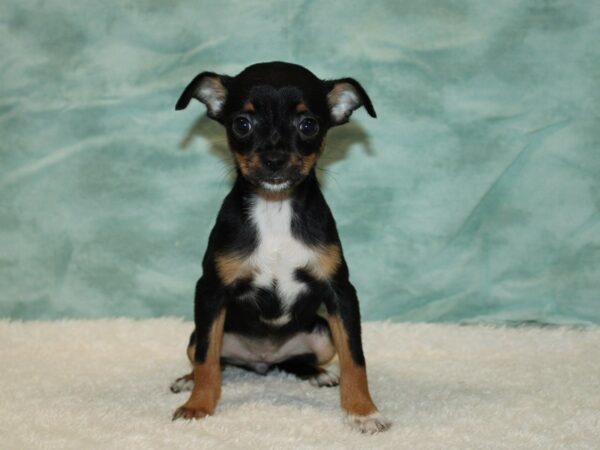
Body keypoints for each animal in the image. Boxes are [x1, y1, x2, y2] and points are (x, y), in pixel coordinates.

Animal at [171, 60, 392, 432]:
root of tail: (264, 361)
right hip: (197, 334)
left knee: (297, 361)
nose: (274, 158)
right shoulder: (210, 292)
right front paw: (198, 404)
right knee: (212, 357)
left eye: (308, 124)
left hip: (322, 334)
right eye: (242, 123)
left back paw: (317, 373)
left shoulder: (340, 293)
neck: (275, 209)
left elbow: (355, 358)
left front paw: (363, 411)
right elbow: (206, 359)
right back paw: (188, 380)